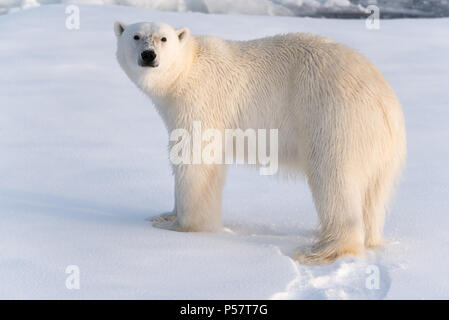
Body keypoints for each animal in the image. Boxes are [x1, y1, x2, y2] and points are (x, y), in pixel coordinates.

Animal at [114, 21, 404, 264]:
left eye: (163, 38)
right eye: (136, 36)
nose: (148, 55)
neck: (188, 69)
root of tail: (386, 103)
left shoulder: (202, 102)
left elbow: (195, 160)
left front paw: (181, 226)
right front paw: (165, 214)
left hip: (334, 119)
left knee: (334, 179)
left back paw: (321, 250)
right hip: (380, 151)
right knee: (373, 195)